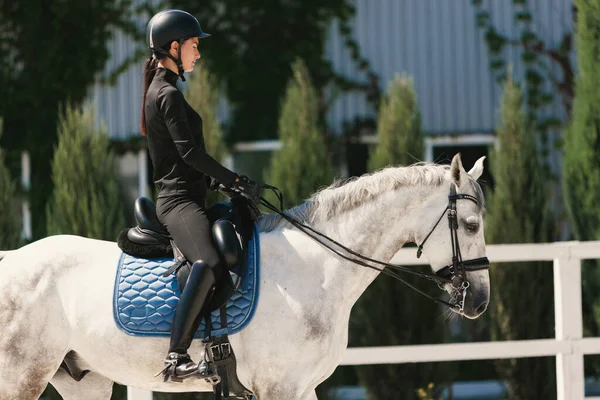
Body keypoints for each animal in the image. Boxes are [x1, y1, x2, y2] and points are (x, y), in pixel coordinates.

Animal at [0, 154, 488, 400]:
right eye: (470, 225)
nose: (479, 300)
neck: (315, 269)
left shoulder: (302, 389)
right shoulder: (278, 388)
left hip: (84, 380)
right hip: (20, 380)